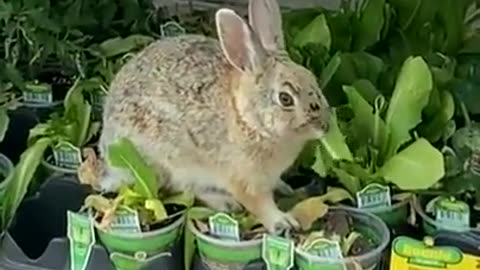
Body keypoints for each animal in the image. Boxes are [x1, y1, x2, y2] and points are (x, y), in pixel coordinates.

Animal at [97, 0, 330, 234]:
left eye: (312, 79)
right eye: (285, 99)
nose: (324, 126)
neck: (248, 121)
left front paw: (285, 188)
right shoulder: (244, 180)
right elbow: (260, 204)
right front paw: (283, 222)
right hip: (166, 161)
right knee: (181, 189)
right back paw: (225, 202)